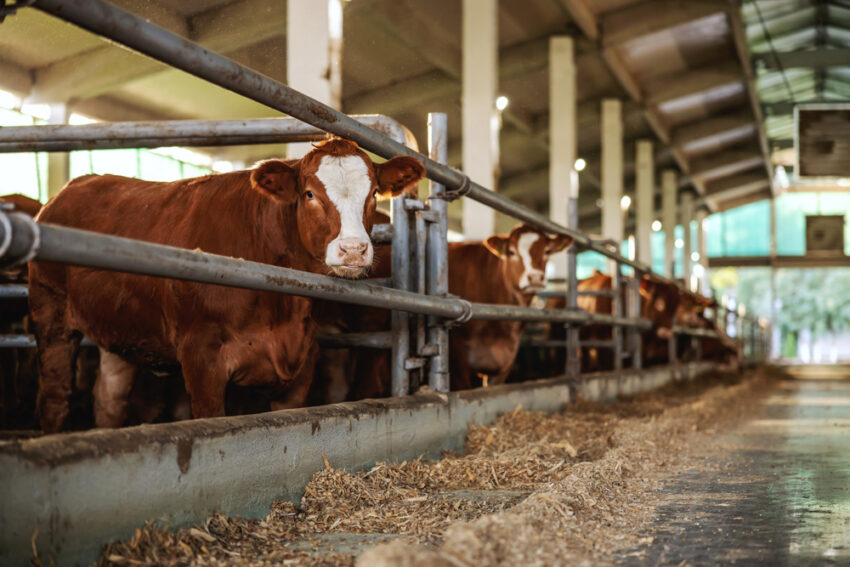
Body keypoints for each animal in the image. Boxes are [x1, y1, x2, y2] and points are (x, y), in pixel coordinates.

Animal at [29, 138, 424, 430]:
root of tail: (71, 188)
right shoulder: (201, 357)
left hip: (121, 329)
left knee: (108, 400)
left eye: (373, 193)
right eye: (310, 193)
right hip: (51, 317)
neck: (280, 306)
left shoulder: (302, 363)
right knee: (54, 398)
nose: (353, 249)